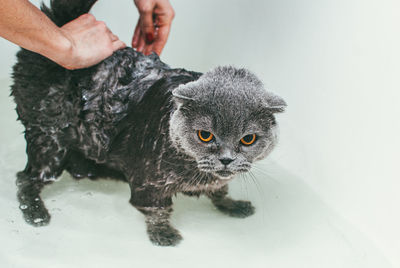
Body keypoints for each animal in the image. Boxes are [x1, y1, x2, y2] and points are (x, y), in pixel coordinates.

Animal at [10, 0, 284, 246]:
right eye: (205, 135)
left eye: (247, 139)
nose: (226, 159)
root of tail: (61, 21)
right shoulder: (148, 184)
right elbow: (157, 211)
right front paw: (164, 235)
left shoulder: (216, 181)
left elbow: (220, 192)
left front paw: (233, 206)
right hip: (49, 140)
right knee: (26, 179)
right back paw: (36, 214)